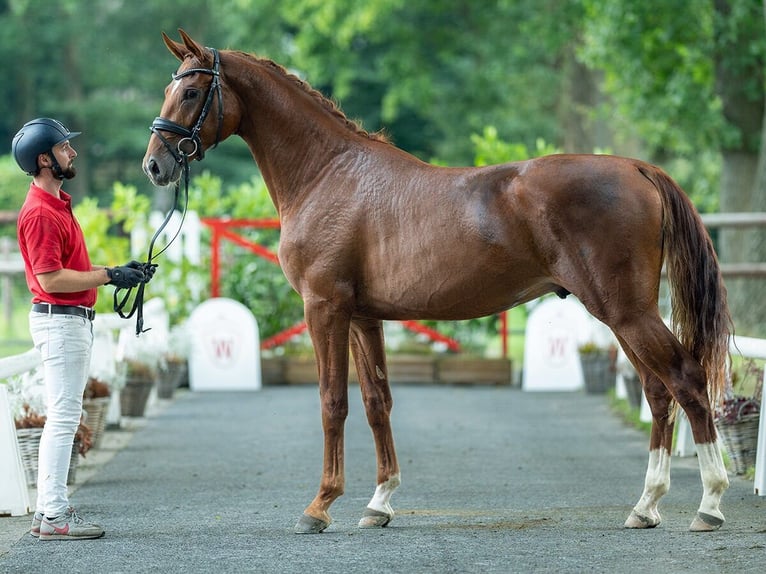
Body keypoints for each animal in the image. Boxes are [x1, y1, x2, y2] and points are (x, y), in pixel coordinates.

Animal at [141, 30, 736, 536]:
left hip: (625, 312)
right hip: (621, 315)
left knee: (685, 379)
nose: (154, 165)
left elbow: (333, 400)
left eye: (190, 91)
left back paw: (708, 504)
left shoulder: (324, 308)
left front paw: (319, 506)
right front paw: (379, 503)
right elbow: (377, 401)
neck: (327, 173)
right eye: (168, 88)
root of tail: (636, 168)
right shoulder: (363, 316)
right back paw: (646, 506)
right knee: (658, 391)